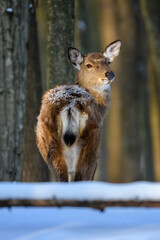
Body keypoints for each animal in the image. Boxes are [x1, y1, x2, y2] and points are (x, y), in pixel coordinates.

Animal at [36, 39, 121, 182]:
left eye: (107, 62)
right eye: (88, 65)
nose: (109, 74)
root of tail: (70, 105)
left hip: (50, 142)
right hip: (92, 142)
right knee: (82, 177)